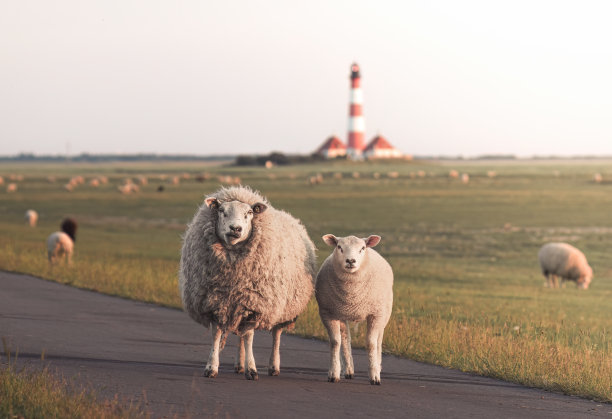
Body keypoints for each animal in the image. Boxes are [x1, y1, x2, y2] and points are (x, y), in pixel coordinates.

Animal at [177, 186, 318, 380]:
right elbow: (217, 335)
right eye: (222, 211)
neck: (233, 275)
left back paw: (273, 366)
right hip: (237, 304)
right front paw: (211, 367)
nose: (235, 228)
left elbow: (249, 336)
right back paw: (239, 364)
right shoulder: (216, 303)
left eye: (249, 213)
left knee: (276, 335)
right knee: (239, 335)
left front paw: (252, 369)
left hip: (282, 308)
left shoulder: (253, 304)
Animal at [318, 235, 394, 386]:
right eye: (339, 247)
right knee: (345, 338)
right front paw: (333, 373)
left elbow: (371, 344)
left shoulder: (375, 314)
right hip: (341, 313)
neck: (351, 295)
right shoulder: (328, 313)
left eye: (362, 248)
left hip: (384, 313)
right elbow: (335, 342)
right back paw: (348, 370)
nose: (350, 261)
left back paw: (378, 365)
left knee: (378, 340)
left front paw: (374, 376)